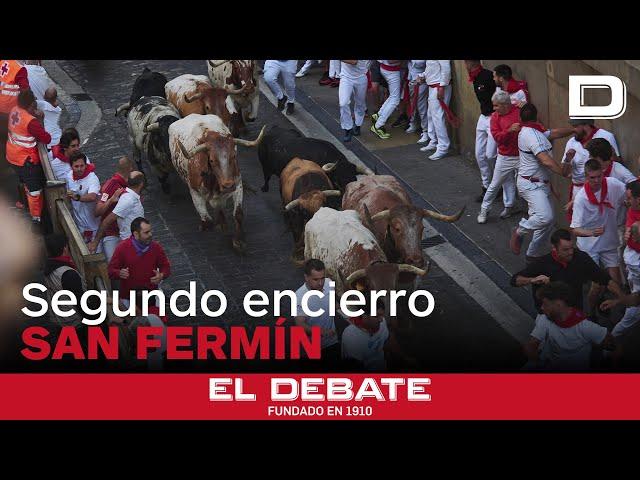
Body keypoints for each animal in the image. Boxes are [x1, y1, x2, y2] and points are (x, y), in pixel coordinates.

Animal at [169, 113, 266, 251]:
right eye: (212, 160)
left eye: (233, 156)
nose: (228, 185)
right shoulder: (195, 193)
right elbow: (208, 221)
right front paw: (213, 226)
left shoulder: (238, 185)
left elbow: (238, 214)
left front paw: (238, 240)